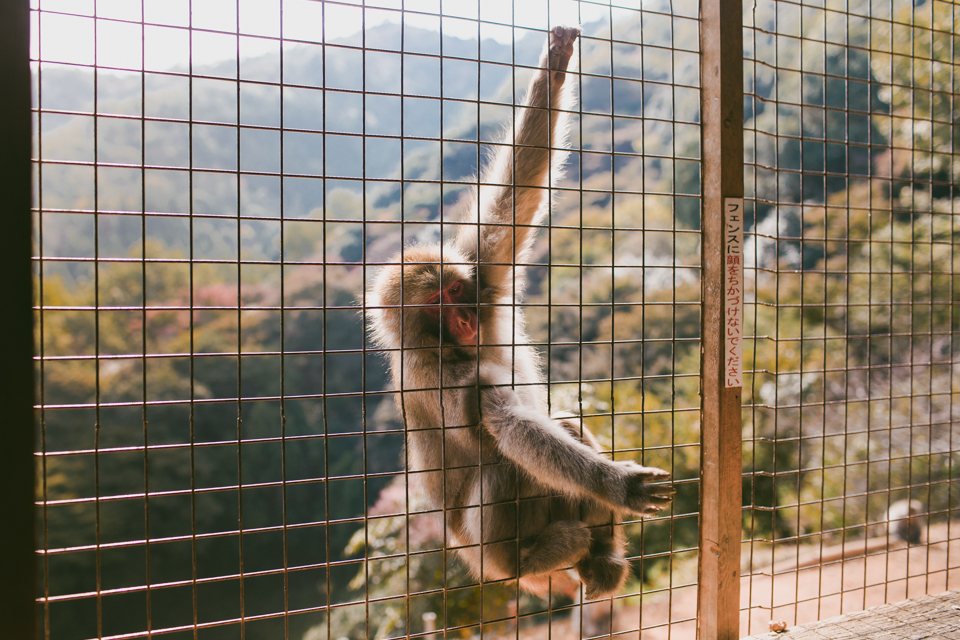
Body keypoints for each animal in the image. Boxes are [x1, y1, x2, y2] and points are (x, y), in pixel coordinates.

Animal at [366, 26, 676, 600]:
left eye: (455, 291)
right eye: (435, 304)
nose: (466, 320)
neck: (446, 343)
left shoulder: (481, 276)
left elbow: (509, 211)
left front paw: (555, 64)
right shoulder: (436, 374)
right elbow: (502, 420)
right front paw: (614, 483)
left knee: (564, 424)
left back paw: (600, 554)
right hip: (483, 549)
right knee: (506, 463)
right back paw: (535, 556)